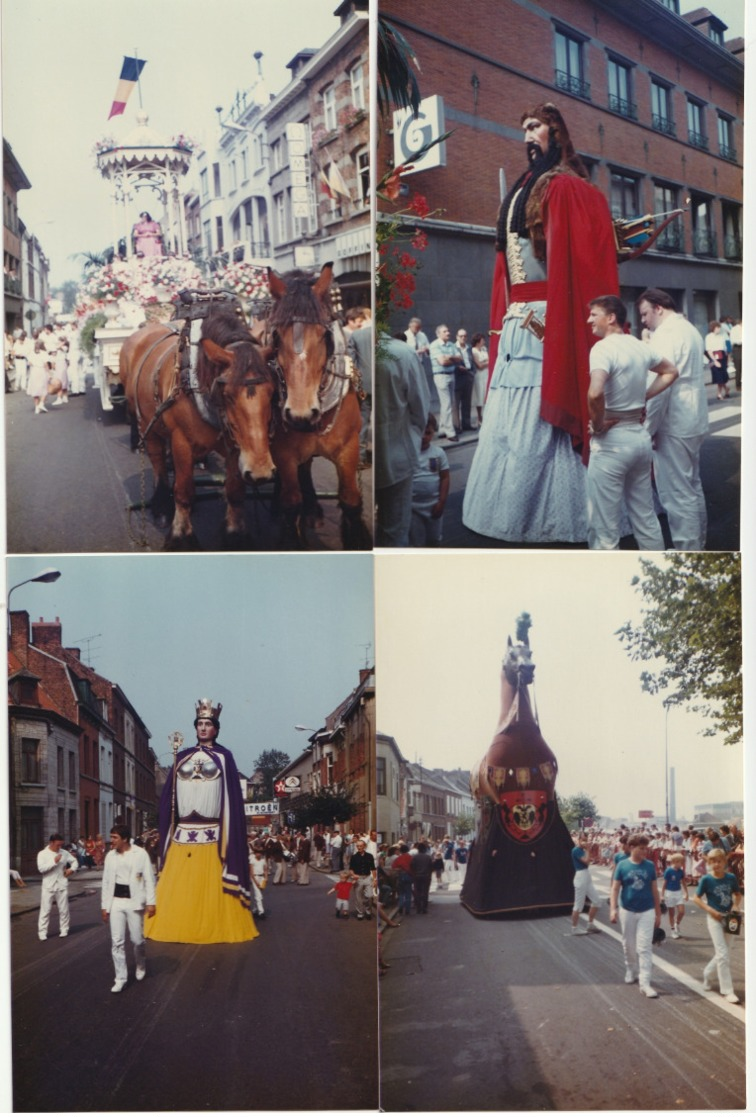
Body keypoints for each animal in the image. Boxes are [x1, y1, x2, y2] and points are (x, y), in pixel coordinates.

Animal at [116, 306, 272, 549]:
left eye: (273, 391)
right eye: (227, 395)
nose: (260, 470)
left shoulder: (235, 445)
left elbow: (235, 490)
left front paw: (235, 534)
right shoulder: (181, 441)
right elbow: (184, 491)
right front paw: (180, 536)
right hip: (145, 423)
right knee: (158, 461)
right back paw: (161, 505)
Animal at [266, 262, 370, 549]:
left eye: (324, 333)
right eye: (276, 335)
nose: (300, 415)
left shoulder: (348, 448)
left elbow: (350, 500)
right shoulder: (284, 453)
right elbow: (291, 503)